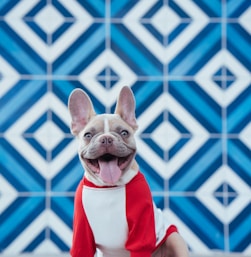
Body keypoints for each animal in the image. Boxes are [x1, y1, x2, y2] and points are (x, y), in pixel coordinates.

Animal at [67, 86, 187, 256]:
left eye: (124, 133)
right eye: (88, 135)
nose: (106, 139)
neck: (109, 187)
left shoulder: (141, 232)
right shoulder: (81, 233)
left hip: (174, 238)